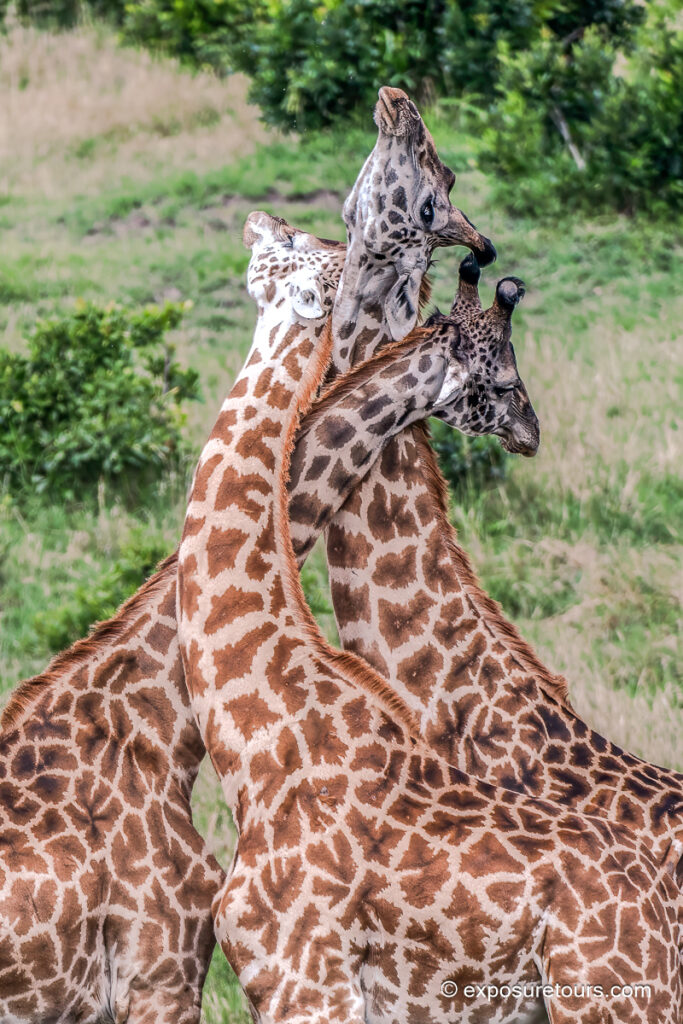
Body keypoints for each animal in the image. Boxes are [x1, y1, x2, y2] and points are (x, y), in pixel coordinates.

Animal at [177, 210, 682, 1024]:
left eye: (295, 251)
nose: (528, 429)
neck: (263, 738)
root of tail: (656, 908)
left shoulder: (300, 979)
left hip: (610, 996)